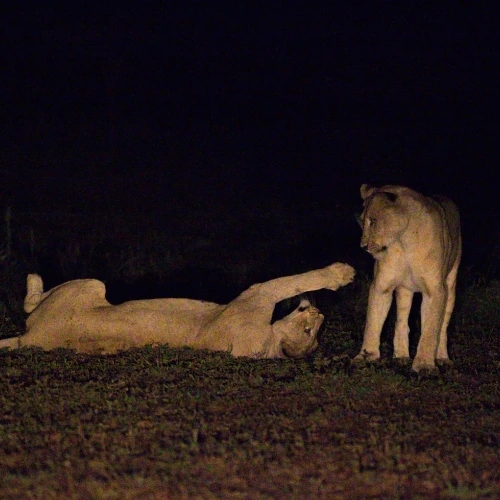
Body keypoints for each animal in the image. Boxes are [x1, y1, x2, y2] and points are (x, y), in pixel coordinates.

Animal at [1, 264, 358, 358]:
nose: (319, 316)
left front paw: (342, 273)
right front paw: (345, 274)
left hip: (88, 285)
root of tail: (30, 338)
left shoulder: (257, 295)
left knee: (30, 301)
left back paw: (33, 278)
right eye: (311, 332)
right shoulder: (257, 297)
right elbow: (294, 283)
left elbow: (292, 281)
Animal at [354, 184, 462, 372]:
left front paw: (425, 364)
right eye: (362, 221)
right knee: (402, 321)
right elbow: (372, 322)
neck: (404, 241)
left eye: (373, 221)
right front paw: (366, 356)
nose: (363, 246)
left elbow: (431, 329)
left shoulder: (435, 289)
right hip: (405, 289)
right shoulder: (381, 286)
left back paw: (442, 357)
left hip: (451, 285)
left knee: (443, 327)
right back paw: (402, 357)